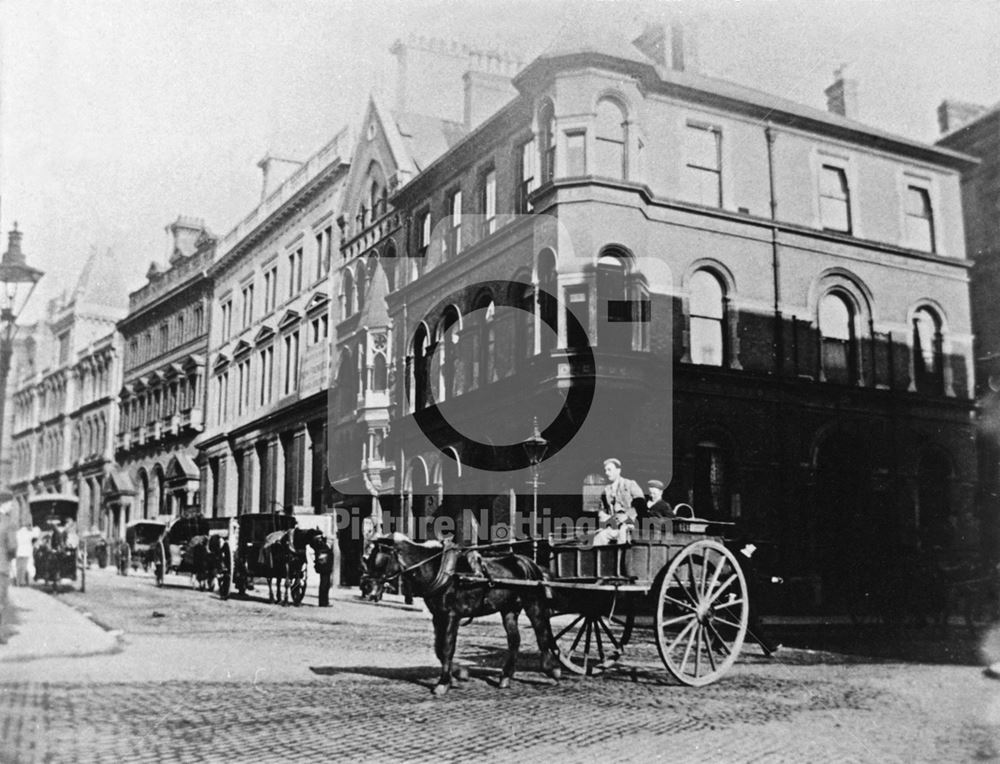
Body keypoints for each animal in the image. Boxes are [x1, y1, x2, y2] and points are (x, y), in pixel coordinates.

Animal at [362, 536, 564, 696]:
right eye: (367, 559)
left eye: (378, 560)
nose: (367, 590)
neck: (441, 571)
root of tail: (529, 563)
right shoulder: (438, 616)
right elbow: (439, 649)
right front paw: (459, 673)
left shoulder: (452, 615)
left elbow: (447, 648)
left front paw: (443, 683)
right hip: (509, 609)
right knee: (515, 640)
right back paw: (505, 677)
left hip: (533, 605)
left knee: (541, 633)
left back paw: (552, 670)